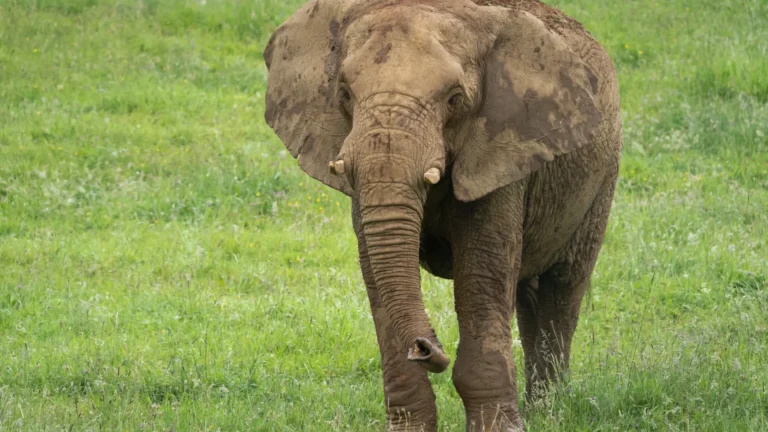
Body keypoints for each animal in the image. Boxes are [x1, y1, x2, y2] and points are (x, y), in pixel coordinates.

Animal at [264, 0, 621, 430]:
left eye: (454, 99)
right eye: (345, 94)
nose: (424, 346)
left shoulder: (499, 150)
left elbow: (481, 275)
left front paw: (500, 428)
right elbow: (376, 274)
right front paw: (411, 427)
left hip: (601, 178)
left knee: (562, 288)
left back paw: (549, 411)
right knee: (528, 292)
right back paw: (539, 409)